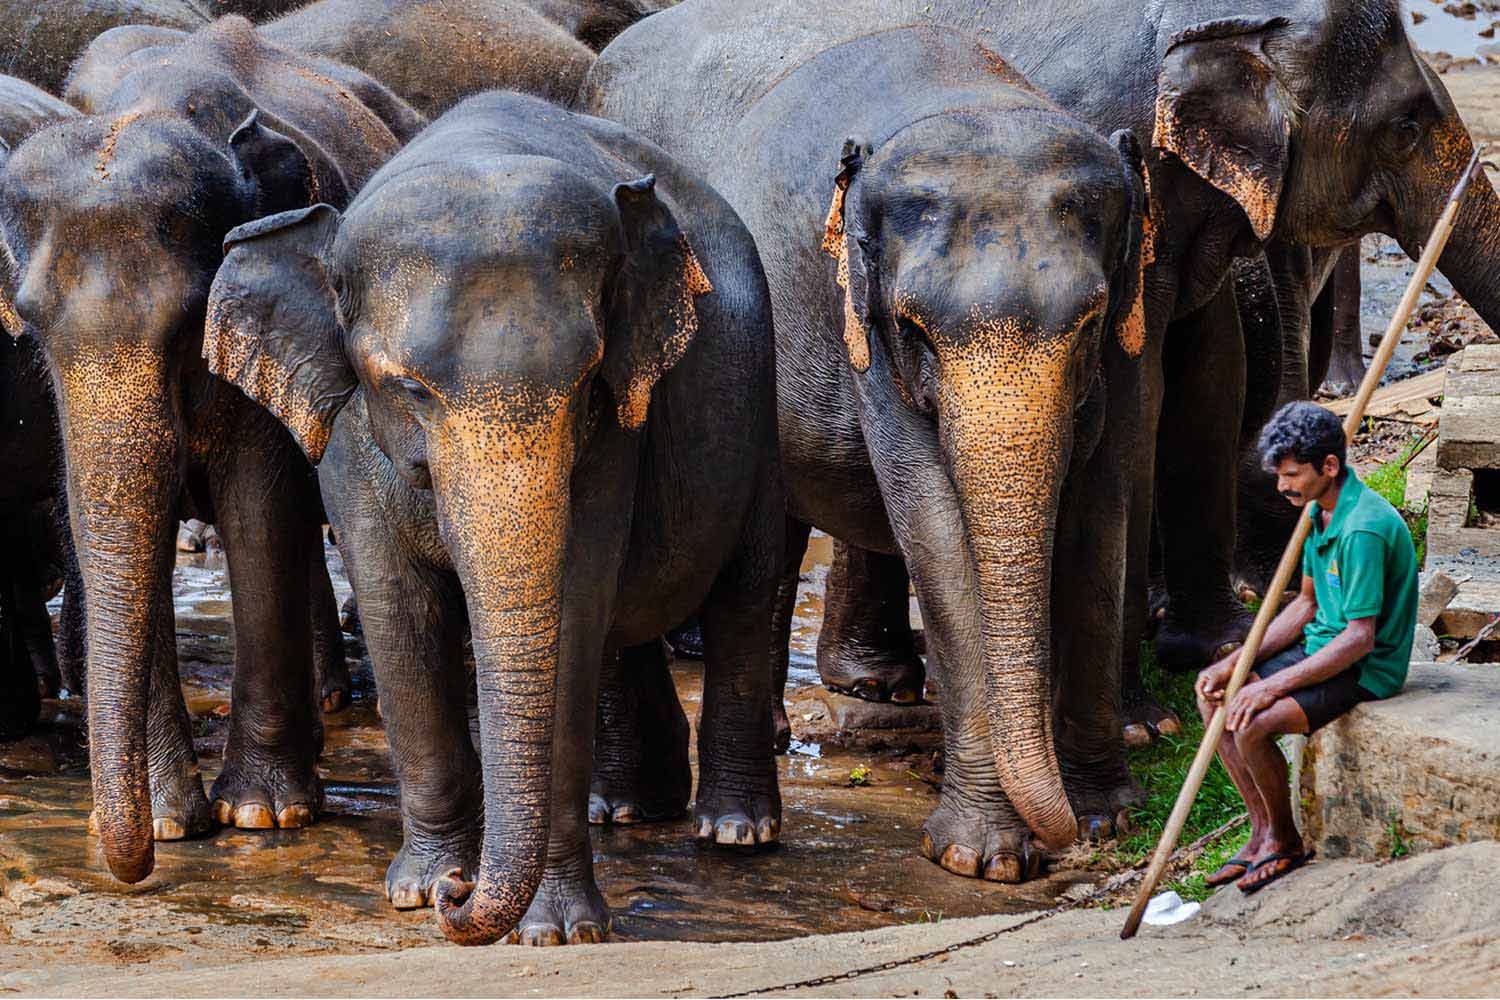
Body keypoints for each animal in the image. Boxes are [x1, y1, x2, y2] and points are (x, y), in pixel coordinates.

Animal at [208, 88, 786, 947]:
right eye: (408, 388)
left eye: (585, 381)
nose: (462, 895)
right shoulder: (350, 436)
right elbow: (397, 611)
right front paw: (422, 888)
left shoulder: (614, 435)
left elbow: (573, 609)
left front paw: (558, 931)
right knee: (627, 632)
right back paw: (624, 808)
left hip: (763, 410)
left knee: (744, 589)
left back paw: (736, 830)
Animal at [585, 23, 1146, 881]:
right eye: (915, 328)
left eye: (1087, 322)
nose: (1059, 836)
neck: (978, 95)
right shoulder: (869, 339)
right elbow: (934, 526)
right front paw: (982, 857)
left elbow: (1100, 515)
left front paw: (1104, 818)